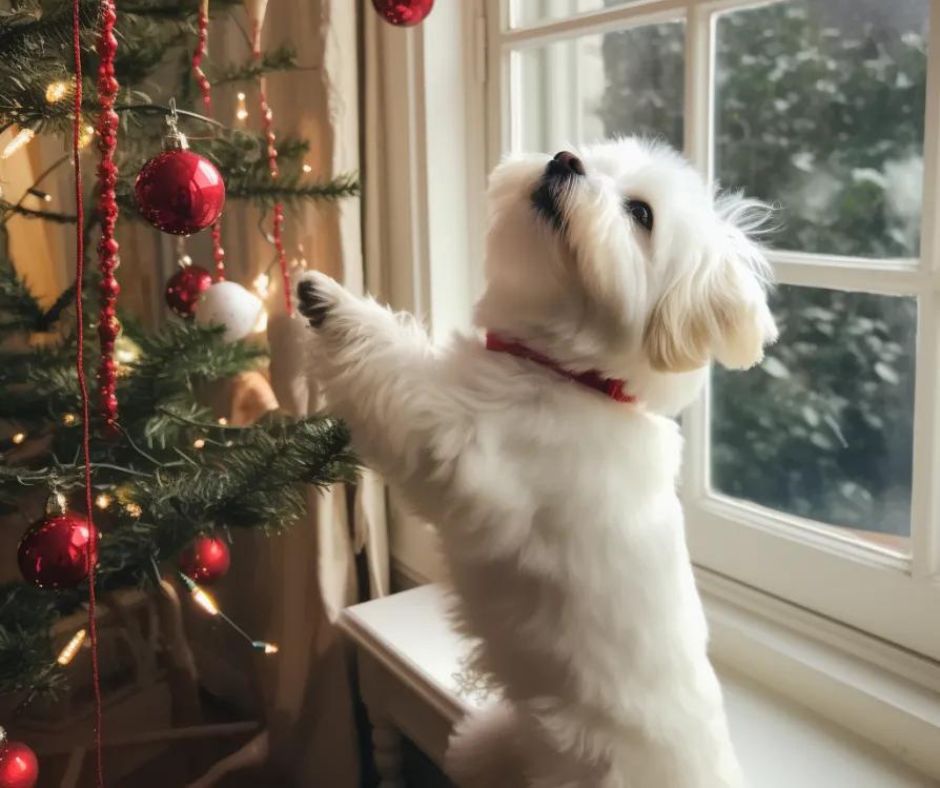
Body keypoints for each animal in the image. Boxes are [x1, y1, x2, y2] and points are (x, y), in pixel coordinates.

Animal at [298, 139, 776, 784]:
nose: (566, 159)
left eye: (641, 214)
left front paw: (335, 305)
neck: (572, 377)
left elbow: (393, 368)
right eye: (592, 156)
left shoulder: (452, 438)